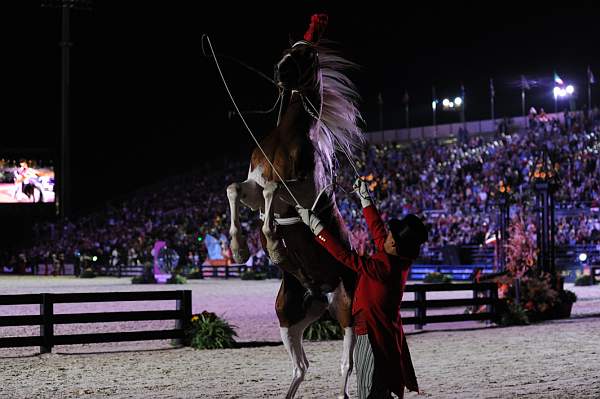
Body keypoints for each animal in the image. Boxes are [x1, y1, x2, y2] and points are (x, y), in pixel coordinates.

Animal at [226, 15, 364, 399]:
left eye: (308, 55)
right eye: (288, 49)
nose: (281, 71)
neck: (287, 136)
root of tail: (319, 294)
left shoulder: (302, 189)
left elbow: (275, 191)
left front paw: (272, 242)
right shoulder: (253, 183)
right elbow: (235, 189)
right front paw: (239, 248)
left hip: (346, 311)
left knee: (346, 364)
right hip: (288, 317)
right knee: (300, 367)